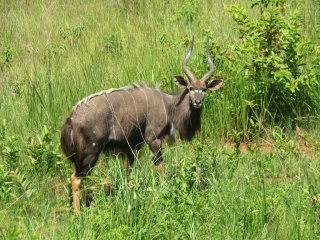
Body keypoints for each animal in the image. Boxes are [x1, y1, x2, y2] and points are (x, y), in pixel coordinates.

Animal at [61, 36, 224, 211]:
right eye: (190, 88)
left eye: (204, 89)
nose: (197, 102)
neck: (168, 105)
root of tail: (70, 120)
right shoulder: (153, 139)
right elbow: (160, 168)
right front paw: (164, 192)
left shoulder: (133, 145)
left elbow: (129, 171)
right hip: (90, 153)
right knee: (76, 178)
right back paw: (79, 213)